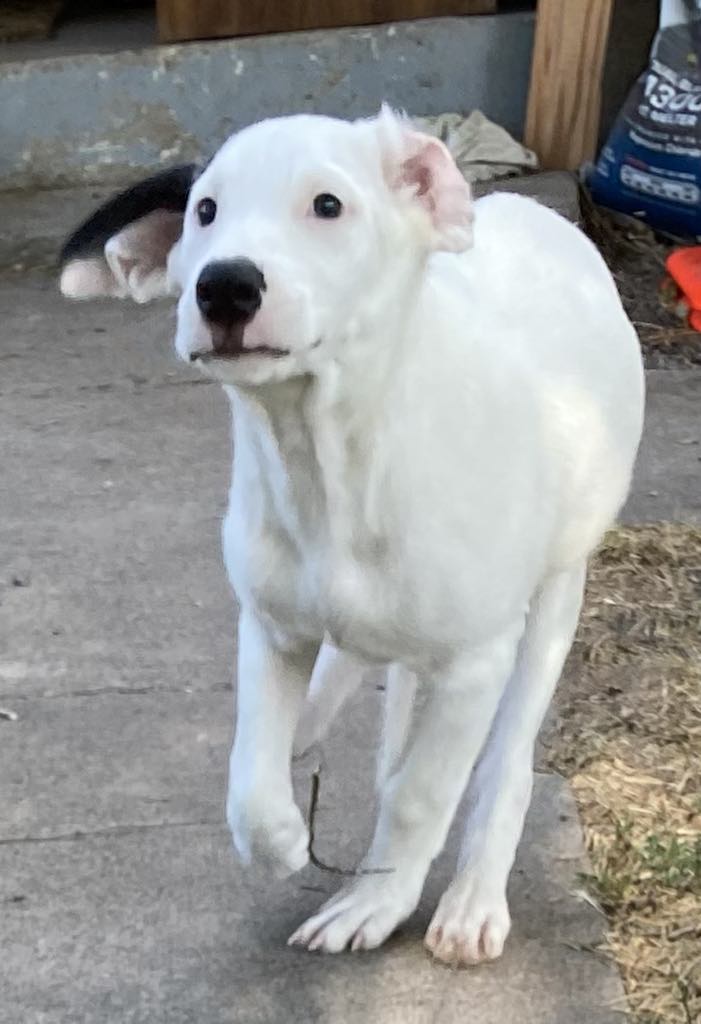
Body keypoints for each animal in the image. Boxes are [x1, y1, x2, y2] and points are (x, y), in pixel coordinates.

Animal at [61, 108, 646, 962]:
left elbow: (421, 793)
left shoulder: (475, 664)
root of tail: (533, 213)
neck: (328, 466)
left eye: (327, 206)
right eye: (204, 211)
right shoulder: (269, 628)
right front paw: (278, 835)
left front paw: (377, 899)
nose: (224, 286)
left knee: (502, 761)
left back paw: (472, 897)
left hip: (554, 595)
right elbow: (250, 779)